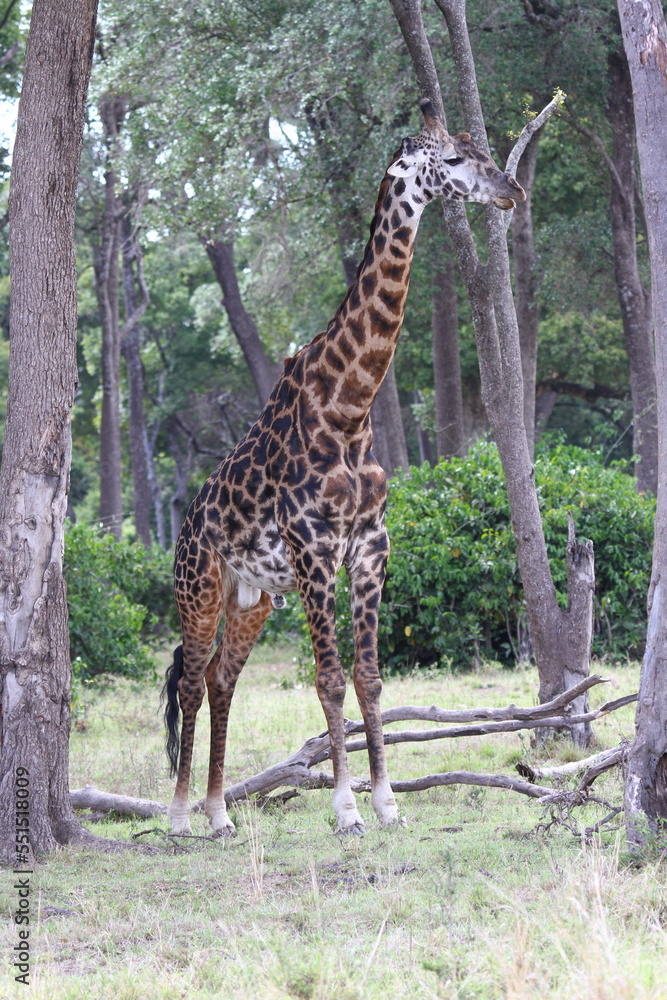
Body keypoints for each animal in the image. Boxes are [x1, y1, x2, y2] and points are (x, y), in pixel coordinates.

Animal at [163, 100, 525, 837]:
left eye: (479, 149)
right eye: (451, 160)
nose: (511, 191)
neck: (349, 410)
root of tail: (185, 524)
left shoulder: (369, 546)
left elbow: (369, 677)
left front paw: (387, 801)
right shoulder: (313, 549)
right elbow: (329, 679)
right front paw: (346, 807)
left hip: (252, 598)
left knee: (220, 680)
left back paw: (220, 813)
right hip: (201, 587)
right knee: (188, 680)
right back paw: (181, 815)